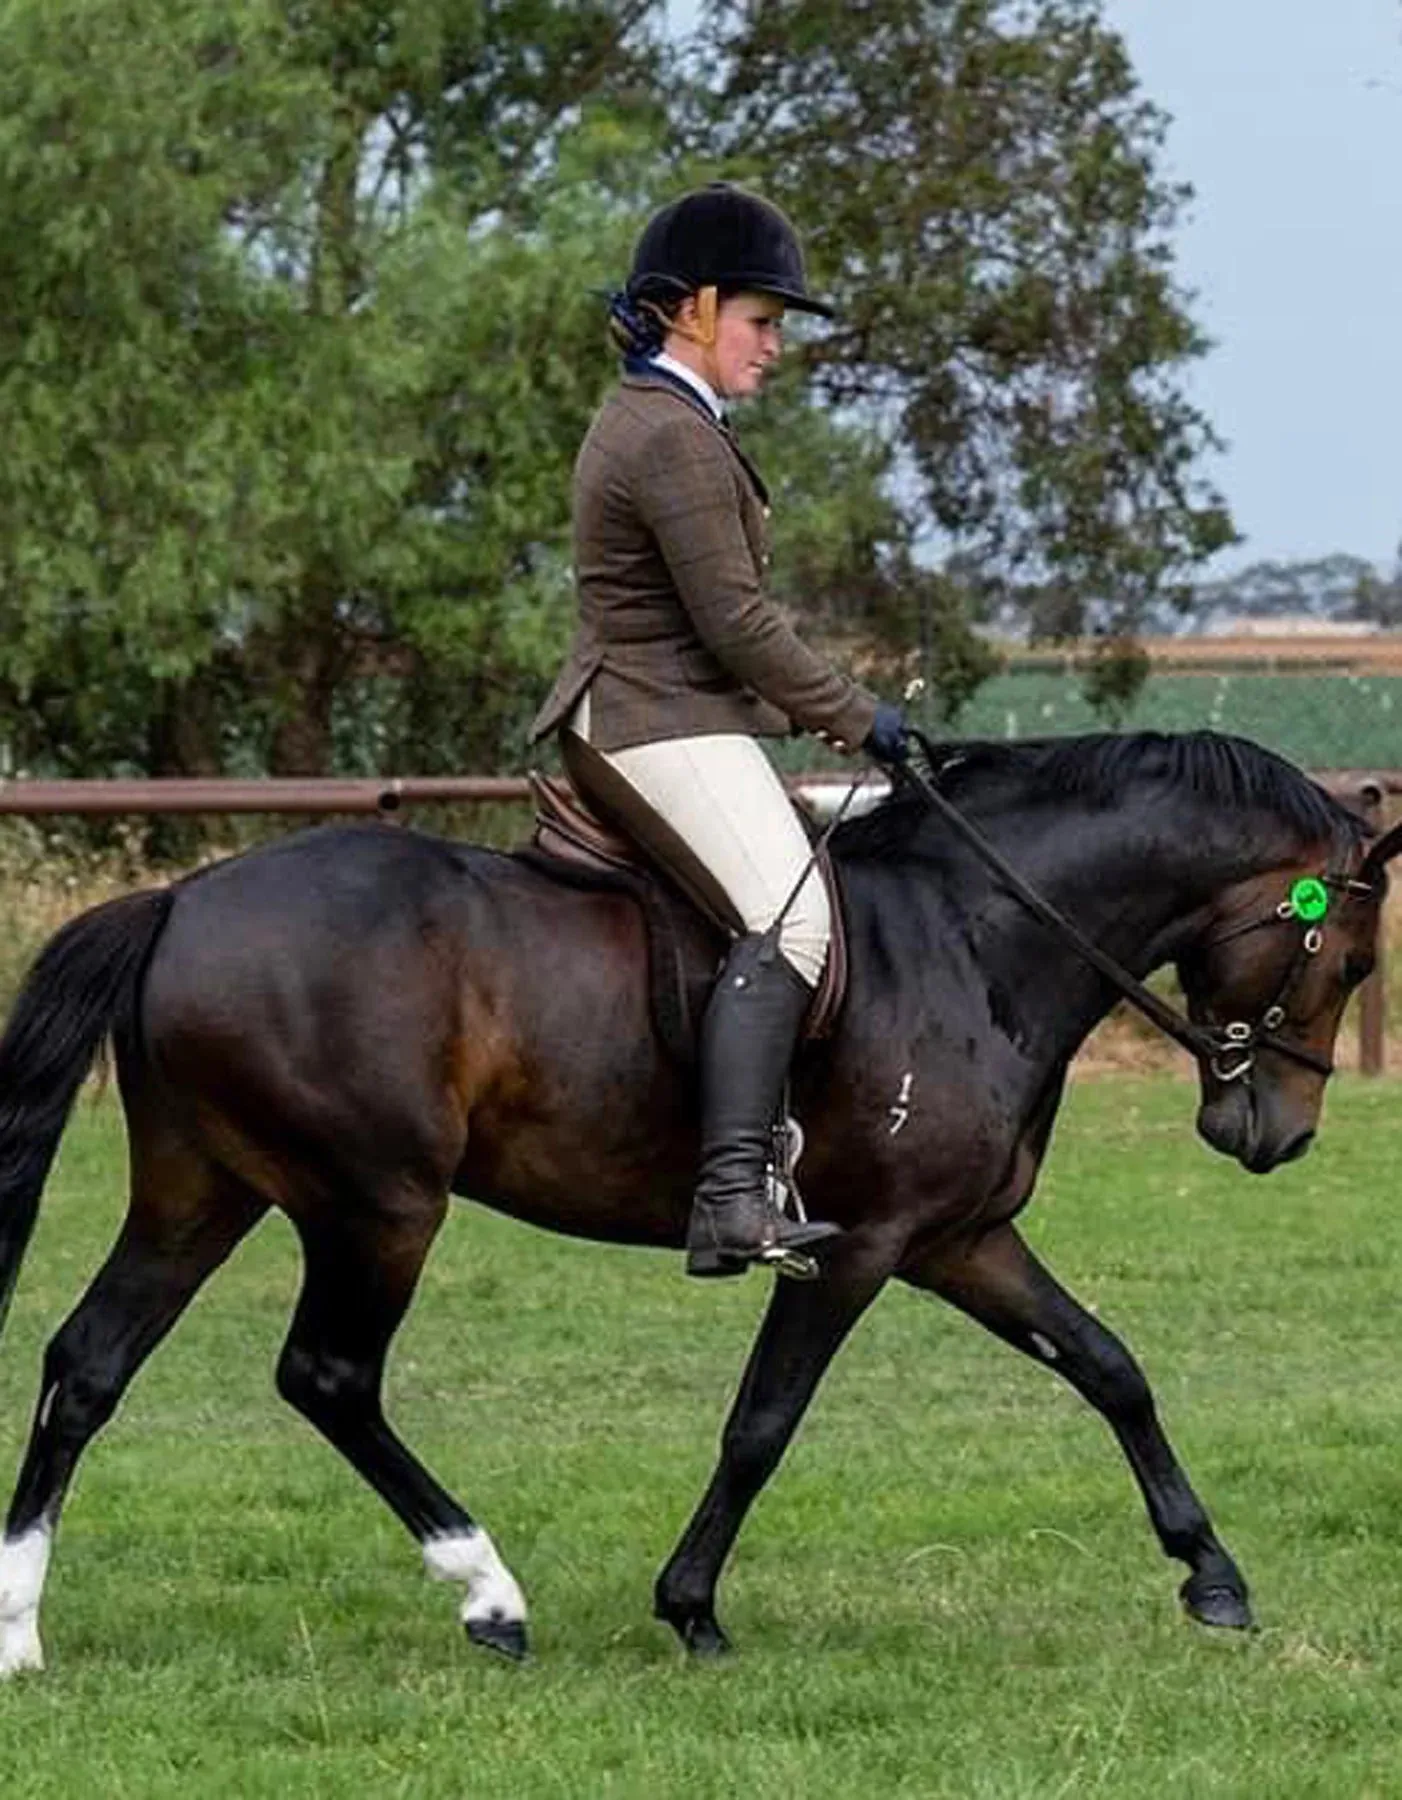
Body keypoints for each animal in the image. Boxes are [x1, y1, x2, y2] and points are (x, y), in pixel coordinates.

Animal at [2, 727, 1402, 1670]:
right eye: (1350, 958)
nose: (1275, 1134)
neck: (976, 934)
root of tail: (184, 901)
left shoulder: (960, 1236)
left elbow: (1110, 1368)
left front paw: (1211, 1578)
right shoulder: (860, 1245)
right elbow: (761, 1423)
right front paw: (691, 1608)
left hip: (204, 1189)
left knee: (88, 1364)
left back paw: (20, 1631)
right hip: (379, 1203)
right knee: (328, 1377)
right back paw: (489, 1596)